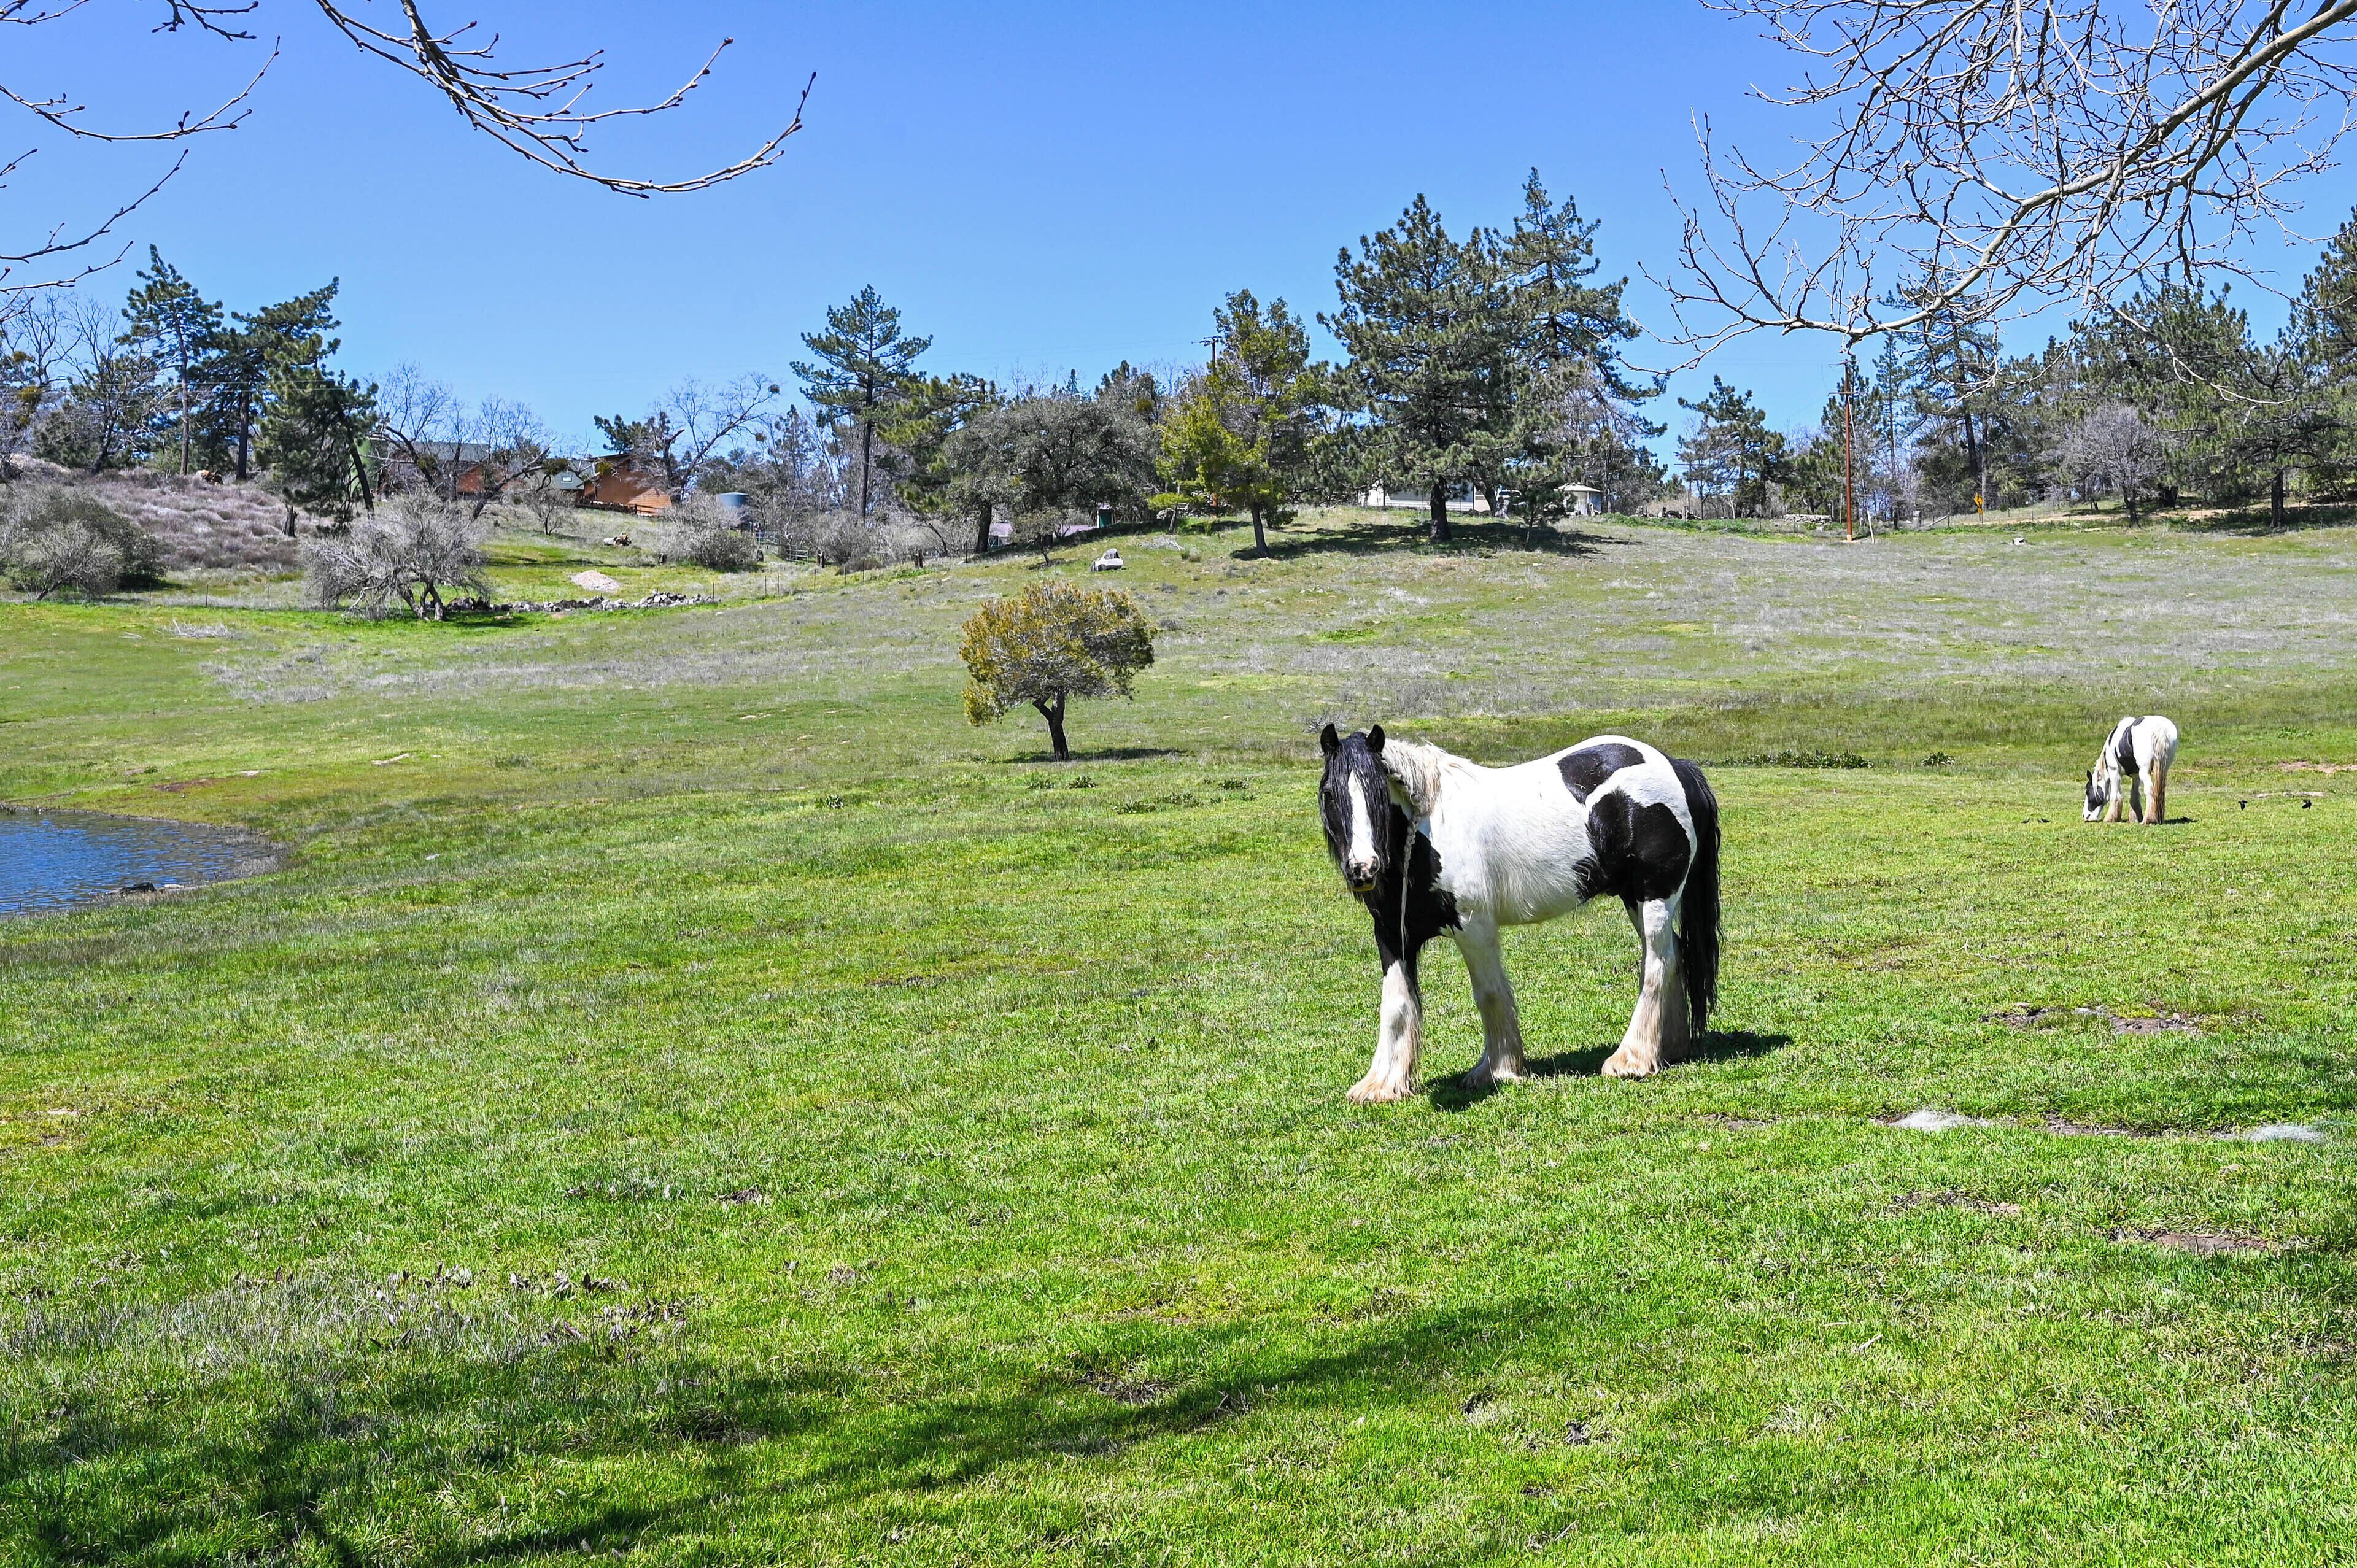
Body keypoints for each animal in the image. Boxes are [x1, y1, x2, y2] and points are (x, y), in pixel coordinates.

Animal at [1316, 724, 1721, 1102]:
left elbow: (1490, 993)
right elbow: (1396, 1004)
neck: (1427, 829)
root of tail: (1675, 766)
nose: (1363, 869)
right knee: (1672, 956)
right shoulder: (1392, 934)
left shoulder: (1474, 927)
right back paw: (1666, 1050)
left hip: (1655, 896)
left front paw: (1497, 1070)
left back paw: (1631, 1060)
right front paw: (1381, 1085)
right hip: (1634, 898)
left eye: (1379, 795)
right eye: (1329, 793)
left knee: (1657, 964)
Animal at [2085, 715, 2179, 825]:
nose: (2085, 816)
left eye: (2088, 792)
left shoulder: (2115, 772)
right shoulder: (2136, 774)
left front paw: (2111, 818)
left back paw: (2148, 819)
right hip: (2163, 768)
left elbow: (2115, 795)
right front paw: (2135, 818)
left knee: (2150, 790)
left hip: (2145, 771)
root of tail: (2160, 730)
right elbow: (2134, 795)